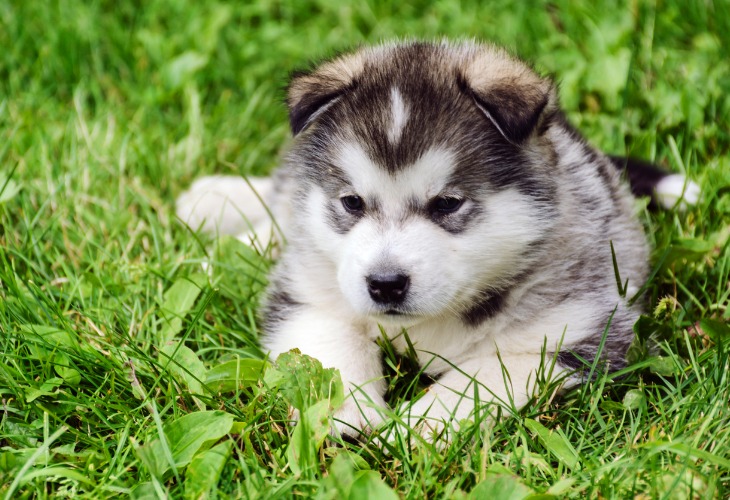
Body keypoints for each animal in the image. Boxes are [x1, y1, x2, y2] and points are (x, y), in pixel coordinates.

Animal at [176, 40, 700, 438]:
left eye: (447, 204)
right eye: (352, 203)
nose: (385, 284)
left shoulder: (571, 334)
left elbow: (481, 379)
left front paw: (418, 427)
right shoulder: (309, 295)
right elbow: (330, 349)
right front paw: (350, 413)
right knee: (282, 196)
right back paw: (215, 213)